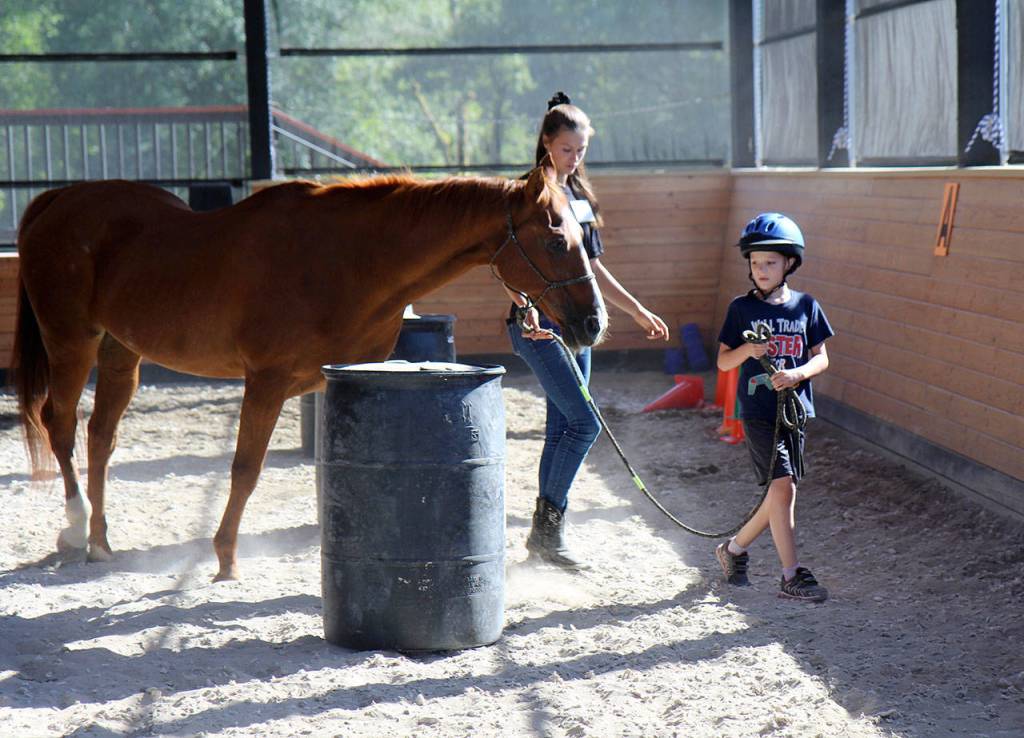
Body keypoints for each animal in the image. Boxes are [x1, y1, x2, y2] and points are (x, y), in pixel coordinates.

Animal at [11, 160, 608, 581]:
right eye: (556, 239)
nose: (593, 323)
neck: (349, 258)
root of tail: (57, 200)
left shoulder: (345, 374)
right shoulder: (266, 381)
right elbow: (245, 469)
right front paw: (226, 558)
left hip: (120, 353)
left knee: (100, 437)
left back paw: (99, 540)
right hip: (72, 343)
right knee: (60, 423)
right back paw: (74, 527)